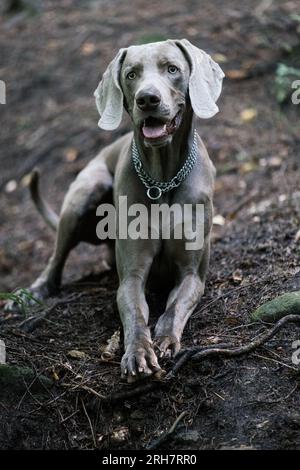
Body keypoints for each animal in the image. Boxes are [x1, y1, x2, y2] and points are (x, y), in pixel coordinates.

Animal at [5, 39, 224, 382]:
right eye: (132, 74)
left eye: (172, 69)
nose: (147, 98)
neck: (162, 179)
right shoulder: (131, 276)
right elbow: (134, 311)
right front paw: (138, 352)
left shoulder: (193, 274)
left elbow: (174, 308)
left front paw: (164, 339)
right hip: (84, 193)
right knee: (55, 260)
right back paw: (32, 293)